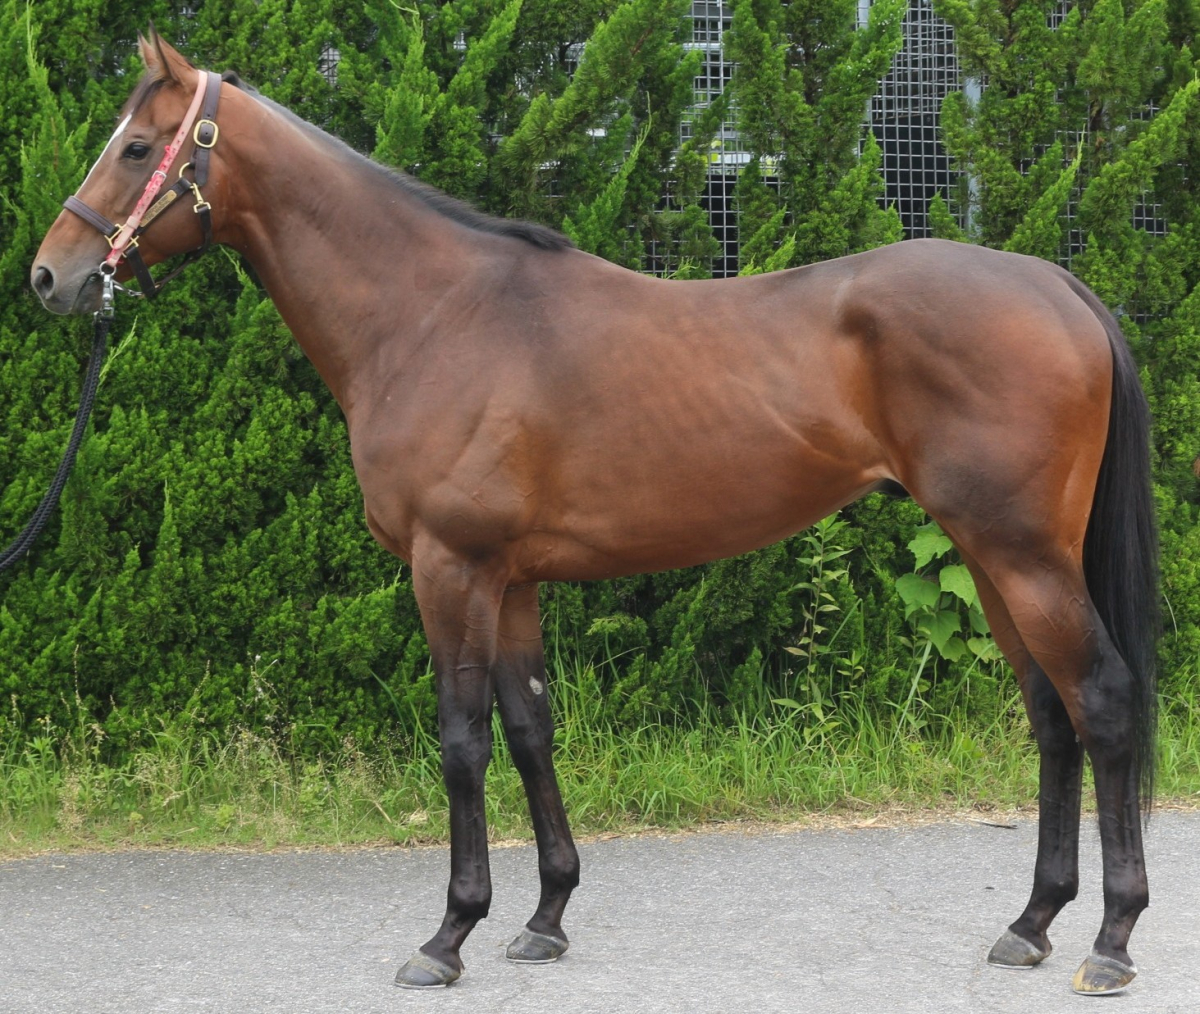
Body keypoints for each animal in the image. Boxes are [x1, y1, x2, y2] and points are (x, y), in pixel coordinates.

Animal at [31, 31, 1159, 996]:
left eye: (136, 146)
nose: (52, 276)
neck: (433, 316)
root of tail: (1056, 285)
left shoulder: (450, 567)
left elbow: (463, 740)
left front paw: (448, 935)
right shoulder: (512, 580)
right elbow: (532, 728)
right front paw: (544, 918)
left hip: (1022, 553)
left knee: (1100, 700)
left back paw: (1109, 941)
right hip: (993, 555)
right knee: (1050, 711)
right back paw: (1031, 923)